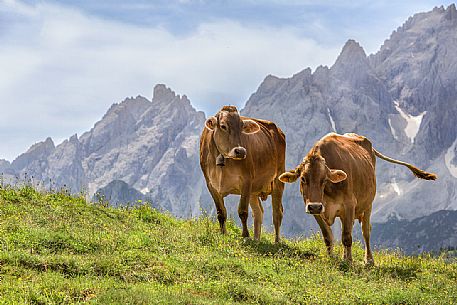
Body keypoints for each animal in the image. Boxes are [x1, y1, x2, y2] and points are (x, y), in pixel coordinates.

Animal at [200, 105, 284, 241]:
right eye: (223, 126)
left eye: (242, 127)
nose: (240, 151)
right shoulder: (211, 184)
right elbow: (221, 212)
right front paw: (223, 234)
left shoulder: (246, 181)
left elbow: (243, 211)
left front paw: (245, 236)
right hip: (254, 189)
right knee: (258, 211)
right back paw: (257, 240)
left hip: (278, 178)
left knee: (277, 213)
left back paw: (276, 241)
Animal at [278, 133, 434, 264]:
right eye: (303, 178)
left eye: (324, 180)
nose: (315, 206)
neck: (328, 194)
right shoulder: (316, 210)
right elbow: (328, 237)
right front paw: (332, 258)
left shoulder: (349, 205)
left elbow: (347, 238)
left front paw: (349, 262)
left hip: (368, 205)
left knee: (366, 231)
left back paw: (369, 260)